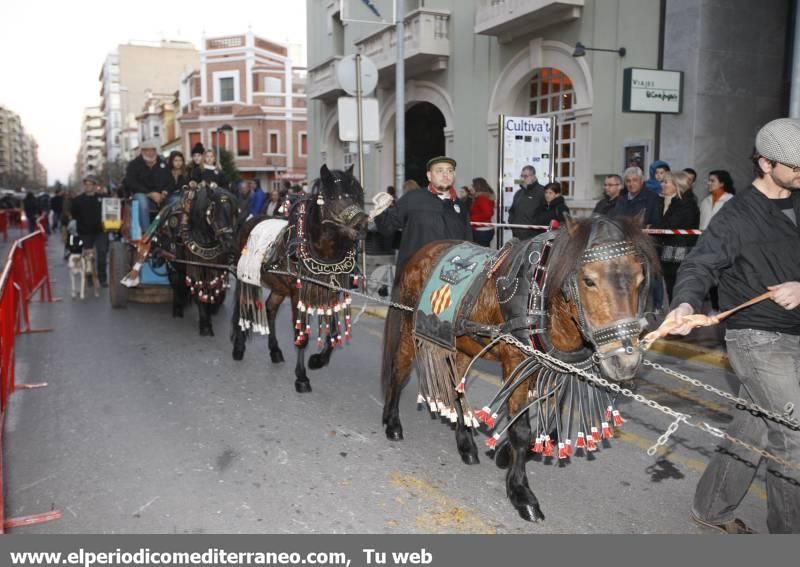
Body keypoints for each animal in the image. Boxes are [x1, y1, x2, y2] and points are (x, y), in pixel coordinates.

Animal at [230, 166, 370, 392]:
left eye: (357, 195)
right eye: (332, 197)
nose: (362, 225)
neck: (322, 251)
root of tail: (249, 220)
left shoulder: (330, 292)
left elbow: (333, 332)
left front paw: (318, 360)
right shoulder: (298, 295)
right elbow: (301, 335)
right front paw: (302, 377)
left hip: (278, 287)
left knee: (270, 309)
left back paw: (275, 351)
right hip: (243, 276)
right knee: (241, 308)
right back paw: (239, 347)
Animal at [384, 216, 660, 524]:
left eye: (640, 280)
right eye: (589, 280)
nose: (625, 361)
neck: (543, 300)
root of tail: (420, 253)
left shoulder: (554, 369)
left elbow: (549, 427)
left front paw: (505, 453)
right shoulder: (516, 363)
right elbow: (521, 430)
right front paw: (520, 492)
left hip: (464, 346)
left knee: (457, 390)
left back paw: (465, 442)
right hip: (408, 327)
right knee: (399, 370)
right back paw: (392, 423)